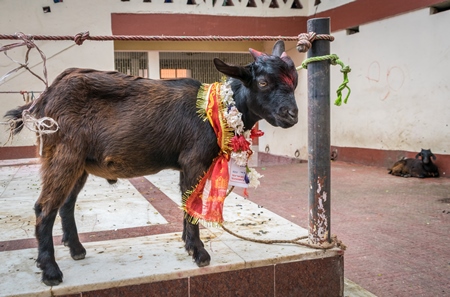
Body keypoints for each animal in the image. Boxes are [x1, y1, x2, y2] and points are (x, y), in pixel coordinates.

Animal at [4, 40, 298, 284]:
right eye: (262, 83)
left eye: (294, 81)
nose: (291, 115)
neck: (219, 109)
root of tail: (43, 98)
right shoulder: (194, 161)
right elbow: (192, 205)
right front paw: (199, 253)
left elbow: (186, 203)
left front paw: (188, 244)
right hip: (63, 155)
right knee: (44, 208)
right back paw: (51, 271)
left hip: (80, 163)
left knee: (66, 203)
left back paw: (76, 249)